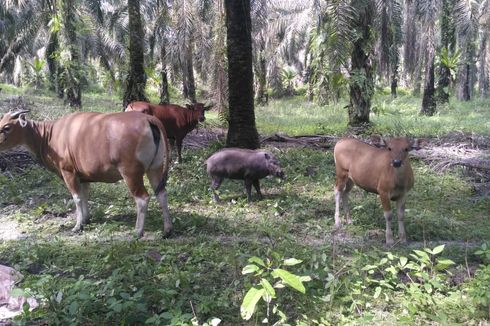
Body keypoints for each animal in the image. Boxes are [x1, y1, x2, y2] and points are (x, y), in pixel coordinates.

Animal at [0, 109, 172, 237]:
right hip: (155, 168)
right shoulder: (83, 176)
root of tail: (148, 119)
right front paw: (86, 220)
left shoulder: (68, 171)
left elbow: (76, 198)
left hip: (130, 172)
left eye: (7, 127)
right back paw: (167, 229)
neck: (49, 136)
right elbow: (84, 196)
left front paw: (77, 225)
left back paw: (138, 231)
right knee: (162, 193)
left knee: (142, 198)